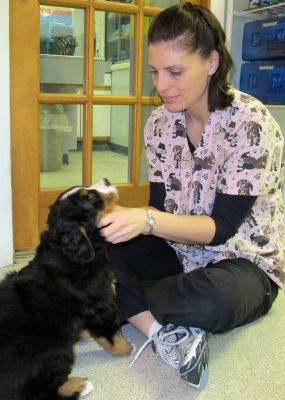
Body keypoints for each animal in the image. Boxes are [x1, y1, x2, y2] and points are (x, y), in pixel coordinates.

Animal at [0, 180, 133, 400]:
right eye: (91, 198)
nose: (106, 180)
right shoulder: (103, 301)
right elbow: (112, 334)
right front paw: (126, 348)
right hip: (56, 352)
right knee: (40, 393)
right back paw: (81, 385)